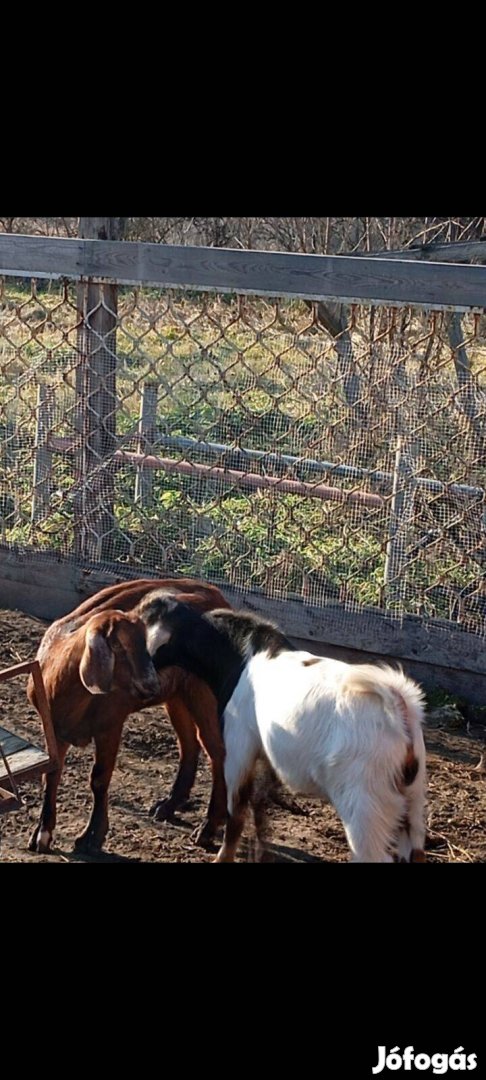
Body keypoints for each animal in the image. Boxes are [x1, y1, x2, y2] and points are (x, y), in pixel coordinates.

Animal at [27, 578, 231, 855]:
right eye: (118, 646)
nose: (151, 683)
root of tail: (217, 595)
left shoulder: (111, 724)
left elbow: (99, 778)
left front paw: (92, 837)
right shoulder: (54, 729)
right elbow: (51, 775)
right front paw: (42, 834)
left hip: (204, 695)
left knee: (217, 752)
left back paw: (208, 828)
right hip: (177, 695)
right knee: (189, 744)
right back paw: (168, 806)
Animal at [138, 591, 427, 859]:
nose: (146, 680)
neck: (243, 656)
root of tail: (398, 706)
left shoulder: (239, 747)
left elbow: (237, 811)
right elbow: (259, 807)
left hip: (365, 808)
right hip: (412, 802)